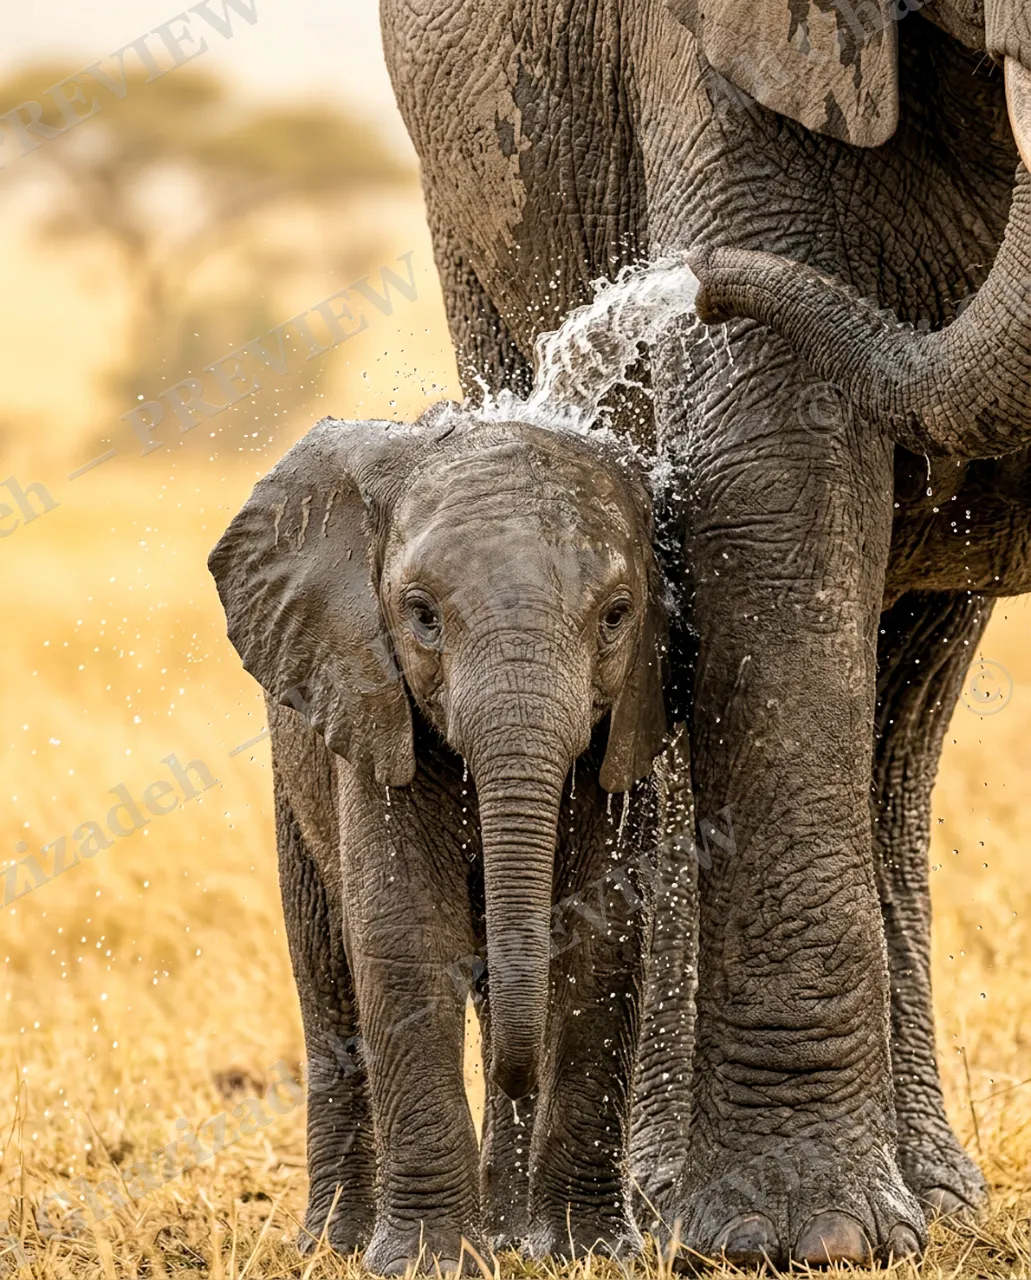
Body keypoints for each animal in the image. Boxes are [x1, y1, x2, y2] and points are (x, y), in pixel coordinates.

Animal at [208, 405, 682, 1272]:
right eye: (421, 615)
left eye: (617, 615)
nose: (516, 1078)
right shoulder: (372, 711)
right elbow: (405, 937)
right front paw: (429, 1262)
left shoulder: (624, 743)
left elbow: (603, 938)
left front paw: (585, 1253)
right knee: (325, 977)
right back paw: (335, 1241)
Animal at [380, 0, 1031, 1266]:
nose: (686, 286)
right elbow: (766, 473)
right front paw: (801, 1239)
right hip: (474, 225)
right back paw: (645, 1198)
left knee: (908, 686)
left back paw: (932, 1199)